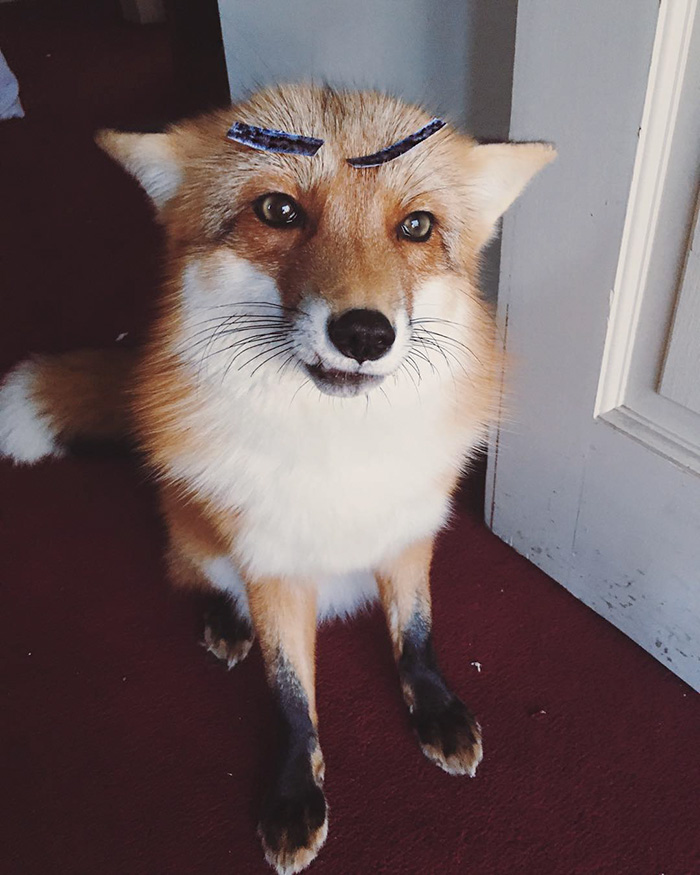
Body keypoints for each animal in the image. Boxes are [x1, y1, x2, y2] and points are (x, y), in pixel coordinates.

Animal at [0, 84, 554, 874]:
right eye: (279, 211)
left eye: (417, 225)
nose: (364, 334)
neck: (339, 460)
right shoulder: (272, 568)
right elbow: (292, 697)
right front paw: (296, 794)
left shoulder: (408, 535)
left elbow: (416, 634)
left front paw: (435, 707)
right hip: (196, 536)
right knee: (194, 572)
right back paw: (225, 623)